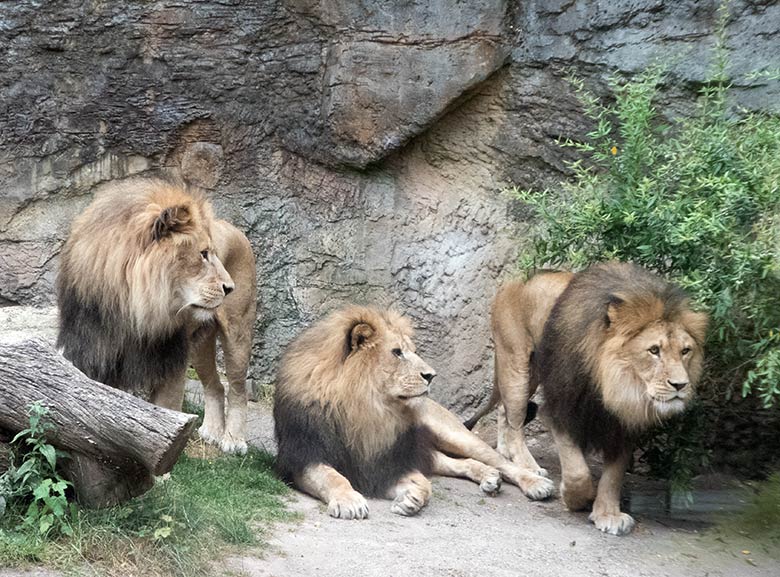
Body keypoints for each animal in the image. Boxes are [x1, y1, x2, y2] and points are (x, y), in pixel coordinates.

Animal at [56, 177, 256, 454]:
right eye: (203, 254)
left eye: (210, 253)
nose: (229, 288)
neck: (132, 308)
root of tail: (233, 227)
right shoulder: (95, 349)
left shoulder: (170, 357)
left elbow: (166, 409)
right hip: (199, 345)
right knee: (214, 385)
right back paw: (211, 432)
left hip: (237, 331)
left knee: (237, 388)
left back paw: (233, 441)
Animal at [274, 308, 556, 520]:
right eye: (397, 352)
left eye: (410, 350)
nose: (431, 375)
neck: (365, 408)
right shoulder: (303, 457)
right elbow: (332, 477)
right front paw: (350, 501)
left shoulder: (388, 460)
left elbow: (424, 484)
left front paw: (410, 499)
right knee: (460, 463)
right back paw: (489, 477)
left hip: (452, 434)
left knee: (499, 460)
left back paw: (535, 482)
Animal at [470, 264, 708, 532]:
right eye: (654, 350)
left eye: (685, 351)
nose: (680, 385)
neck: (615, 385)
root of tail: (514, 278)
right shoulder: (562, 408)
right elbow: (577, 471)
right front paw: (576, 498)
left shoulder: (623, 422)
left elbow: (614, 475)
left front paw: (608, 514)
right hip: (516, 363)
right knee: (515, 422)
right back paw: (528, 466)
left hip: (532, 372)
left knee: (505, 412)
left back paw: (505, 452)